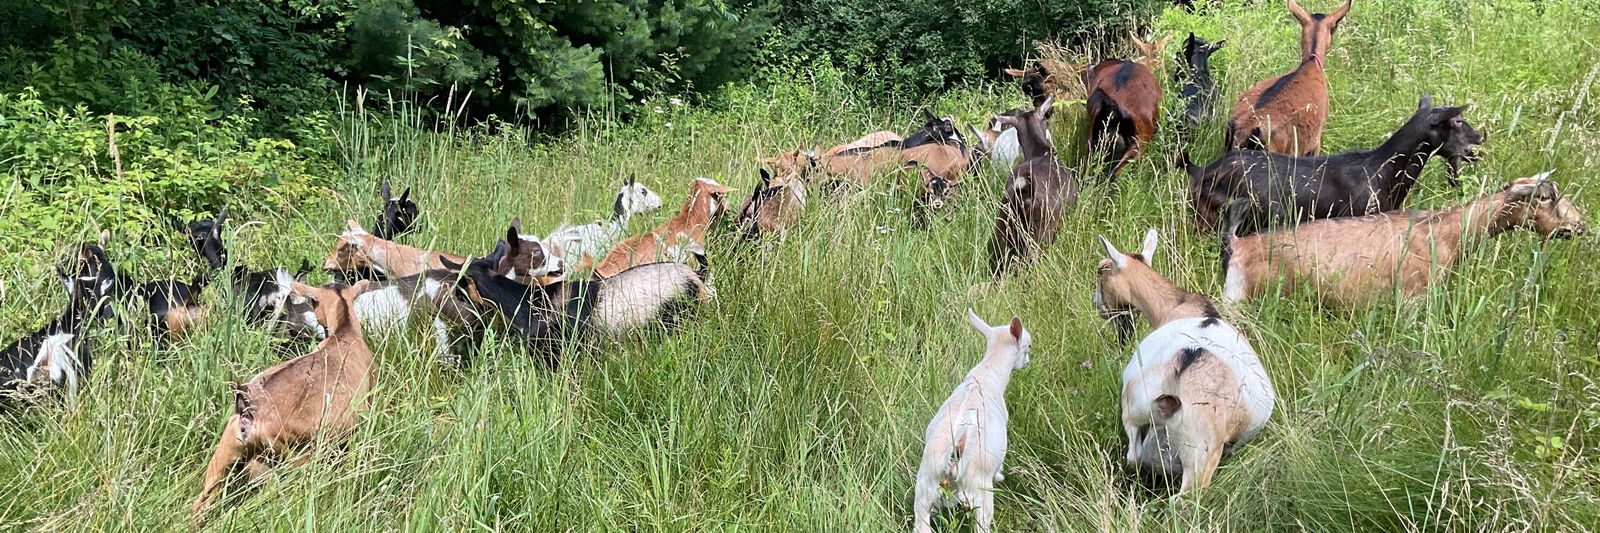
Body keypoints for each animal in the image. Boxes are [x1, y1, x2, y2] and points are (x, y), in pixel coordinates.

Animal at [912, 309, 1032, 533]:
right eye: (1029, 346)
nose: (1027, 364)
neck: (987, 373)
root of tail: (953, 454)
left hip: (924, 488)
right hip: (979, 492)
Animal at [1094, 229, 1275, 494]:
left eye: (1101, 271)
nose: (1098, 306)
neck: (1181, 304)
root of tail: (1179, 373)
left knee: (1135, 459)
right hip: (1198, 449)